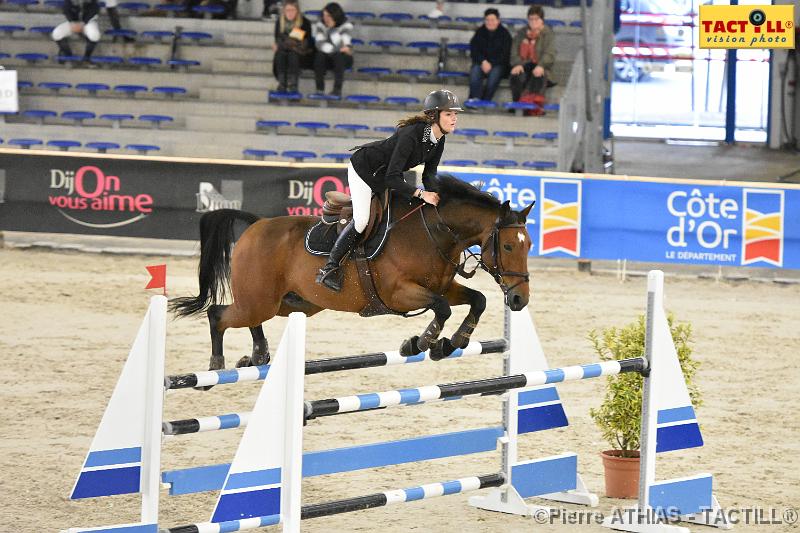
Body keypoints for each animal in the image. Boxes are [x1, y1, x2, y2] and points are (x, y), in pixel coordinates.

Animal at [170, 174, 532, 370]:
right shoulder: (400, 293)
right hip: (260, 300)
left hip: (292, 303)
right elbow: (441, 308)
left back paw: (258, 355)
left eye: (528, 245)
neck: (434, 233)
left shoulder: (443, 286)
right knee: (218, 315)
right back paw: (217, 365)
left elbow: (478, 299)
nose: (519, 300)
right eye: (508, 247)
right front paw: (421, 342)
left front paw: (454, 341)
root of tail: (255, 225)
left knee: (249, 319)